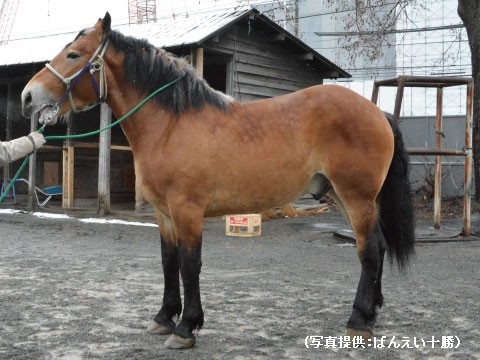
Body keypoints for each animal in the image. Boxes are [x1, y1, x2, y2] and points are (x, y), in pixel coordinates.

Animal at [20, 13, 414, 348]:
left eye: (73, 54)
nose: (27, 96)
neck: (171, 124)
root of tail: (376, 112)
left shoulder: (187, 210)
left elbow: (189, 264)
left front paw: (185, 328)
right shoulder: (164, 213)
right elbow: (169, 262)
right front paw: (164, 317)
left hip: (357, 197)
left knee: (369, 251)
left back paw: (358, 320)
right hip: (344, 197)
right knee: (376, 246)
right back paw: (371, 313)